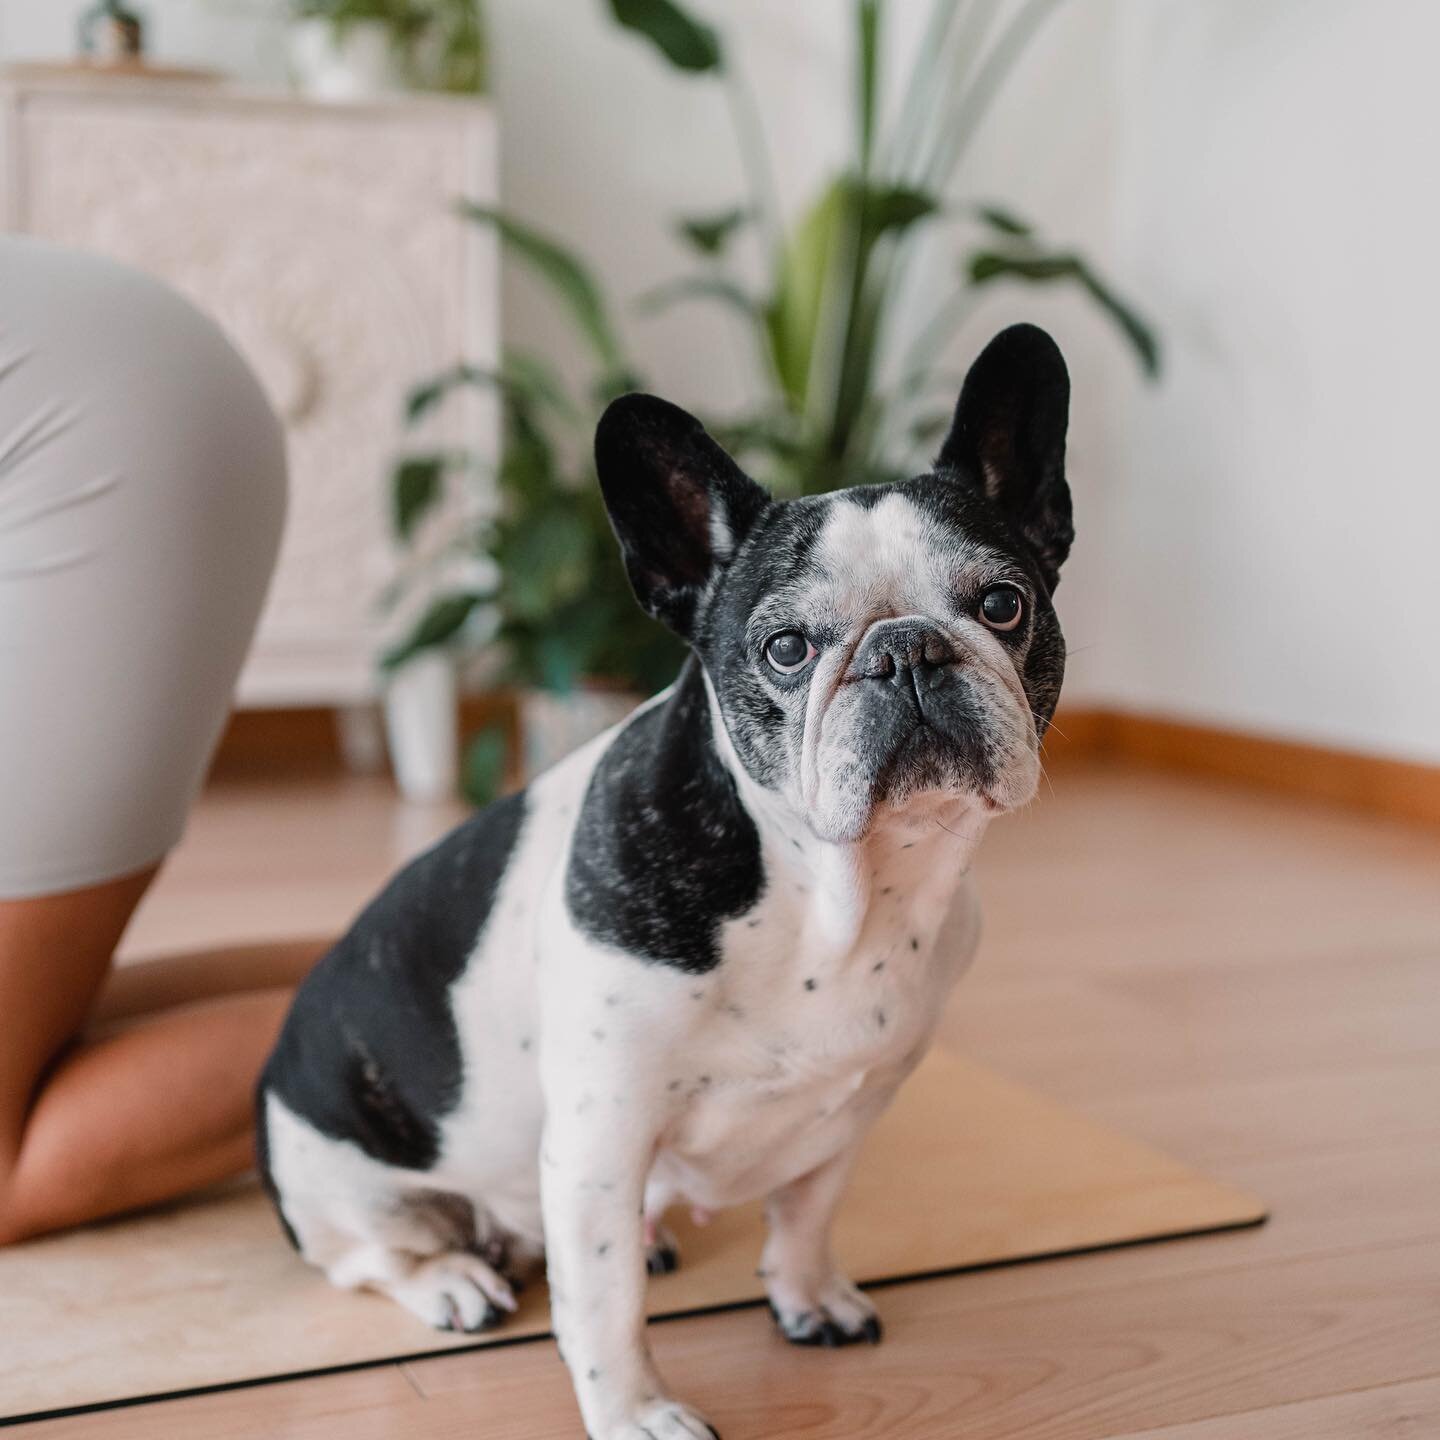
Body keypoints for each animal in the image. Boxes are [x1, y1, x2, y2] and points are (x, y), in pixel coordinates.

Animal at [256, 326, 1071, 1440]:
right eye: (785, 648)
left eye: (1002, 603)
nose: (907, 650)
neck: (838, 891)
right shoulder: (601, 1138)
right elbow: (604, 1305)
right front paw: (637, 1412)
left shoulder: (845, 1115)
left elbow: (806, 1215)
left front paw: (807, 1297)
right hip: (342, 1175)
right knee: (375, 1254)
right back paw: (452, 1279)